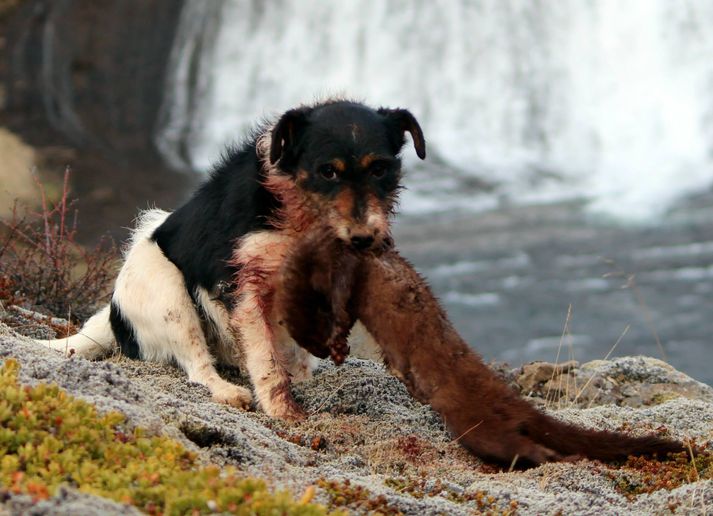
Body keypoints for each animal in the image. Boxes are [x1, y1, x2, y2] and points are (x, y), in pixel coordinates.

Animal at [40, 100, 422, 420]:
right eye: (327, 171)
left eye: (379, 170)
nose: (364, 238)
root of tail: (115, 318)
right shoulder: (243, 287)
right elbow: (266, 360)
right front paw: (283, 411)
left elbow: (294, 354)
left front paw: (302, 384)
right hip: (167, 291)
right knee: (197, 366)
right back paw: (229, 392)